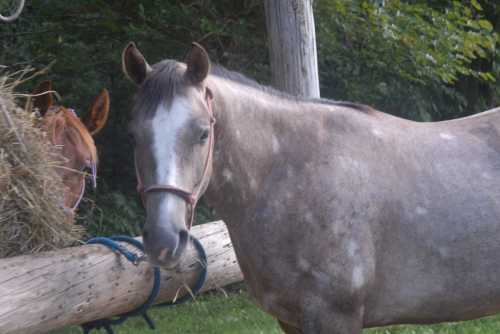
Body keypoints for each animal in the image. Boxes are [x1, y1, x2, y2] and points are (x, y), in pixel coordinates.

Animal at [121, 42, 500, 334]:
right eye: (133, 136)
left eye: (202, 133)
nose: (163, 240)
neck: (288, 174)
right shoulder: (291, 319)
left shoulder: (334, 316)